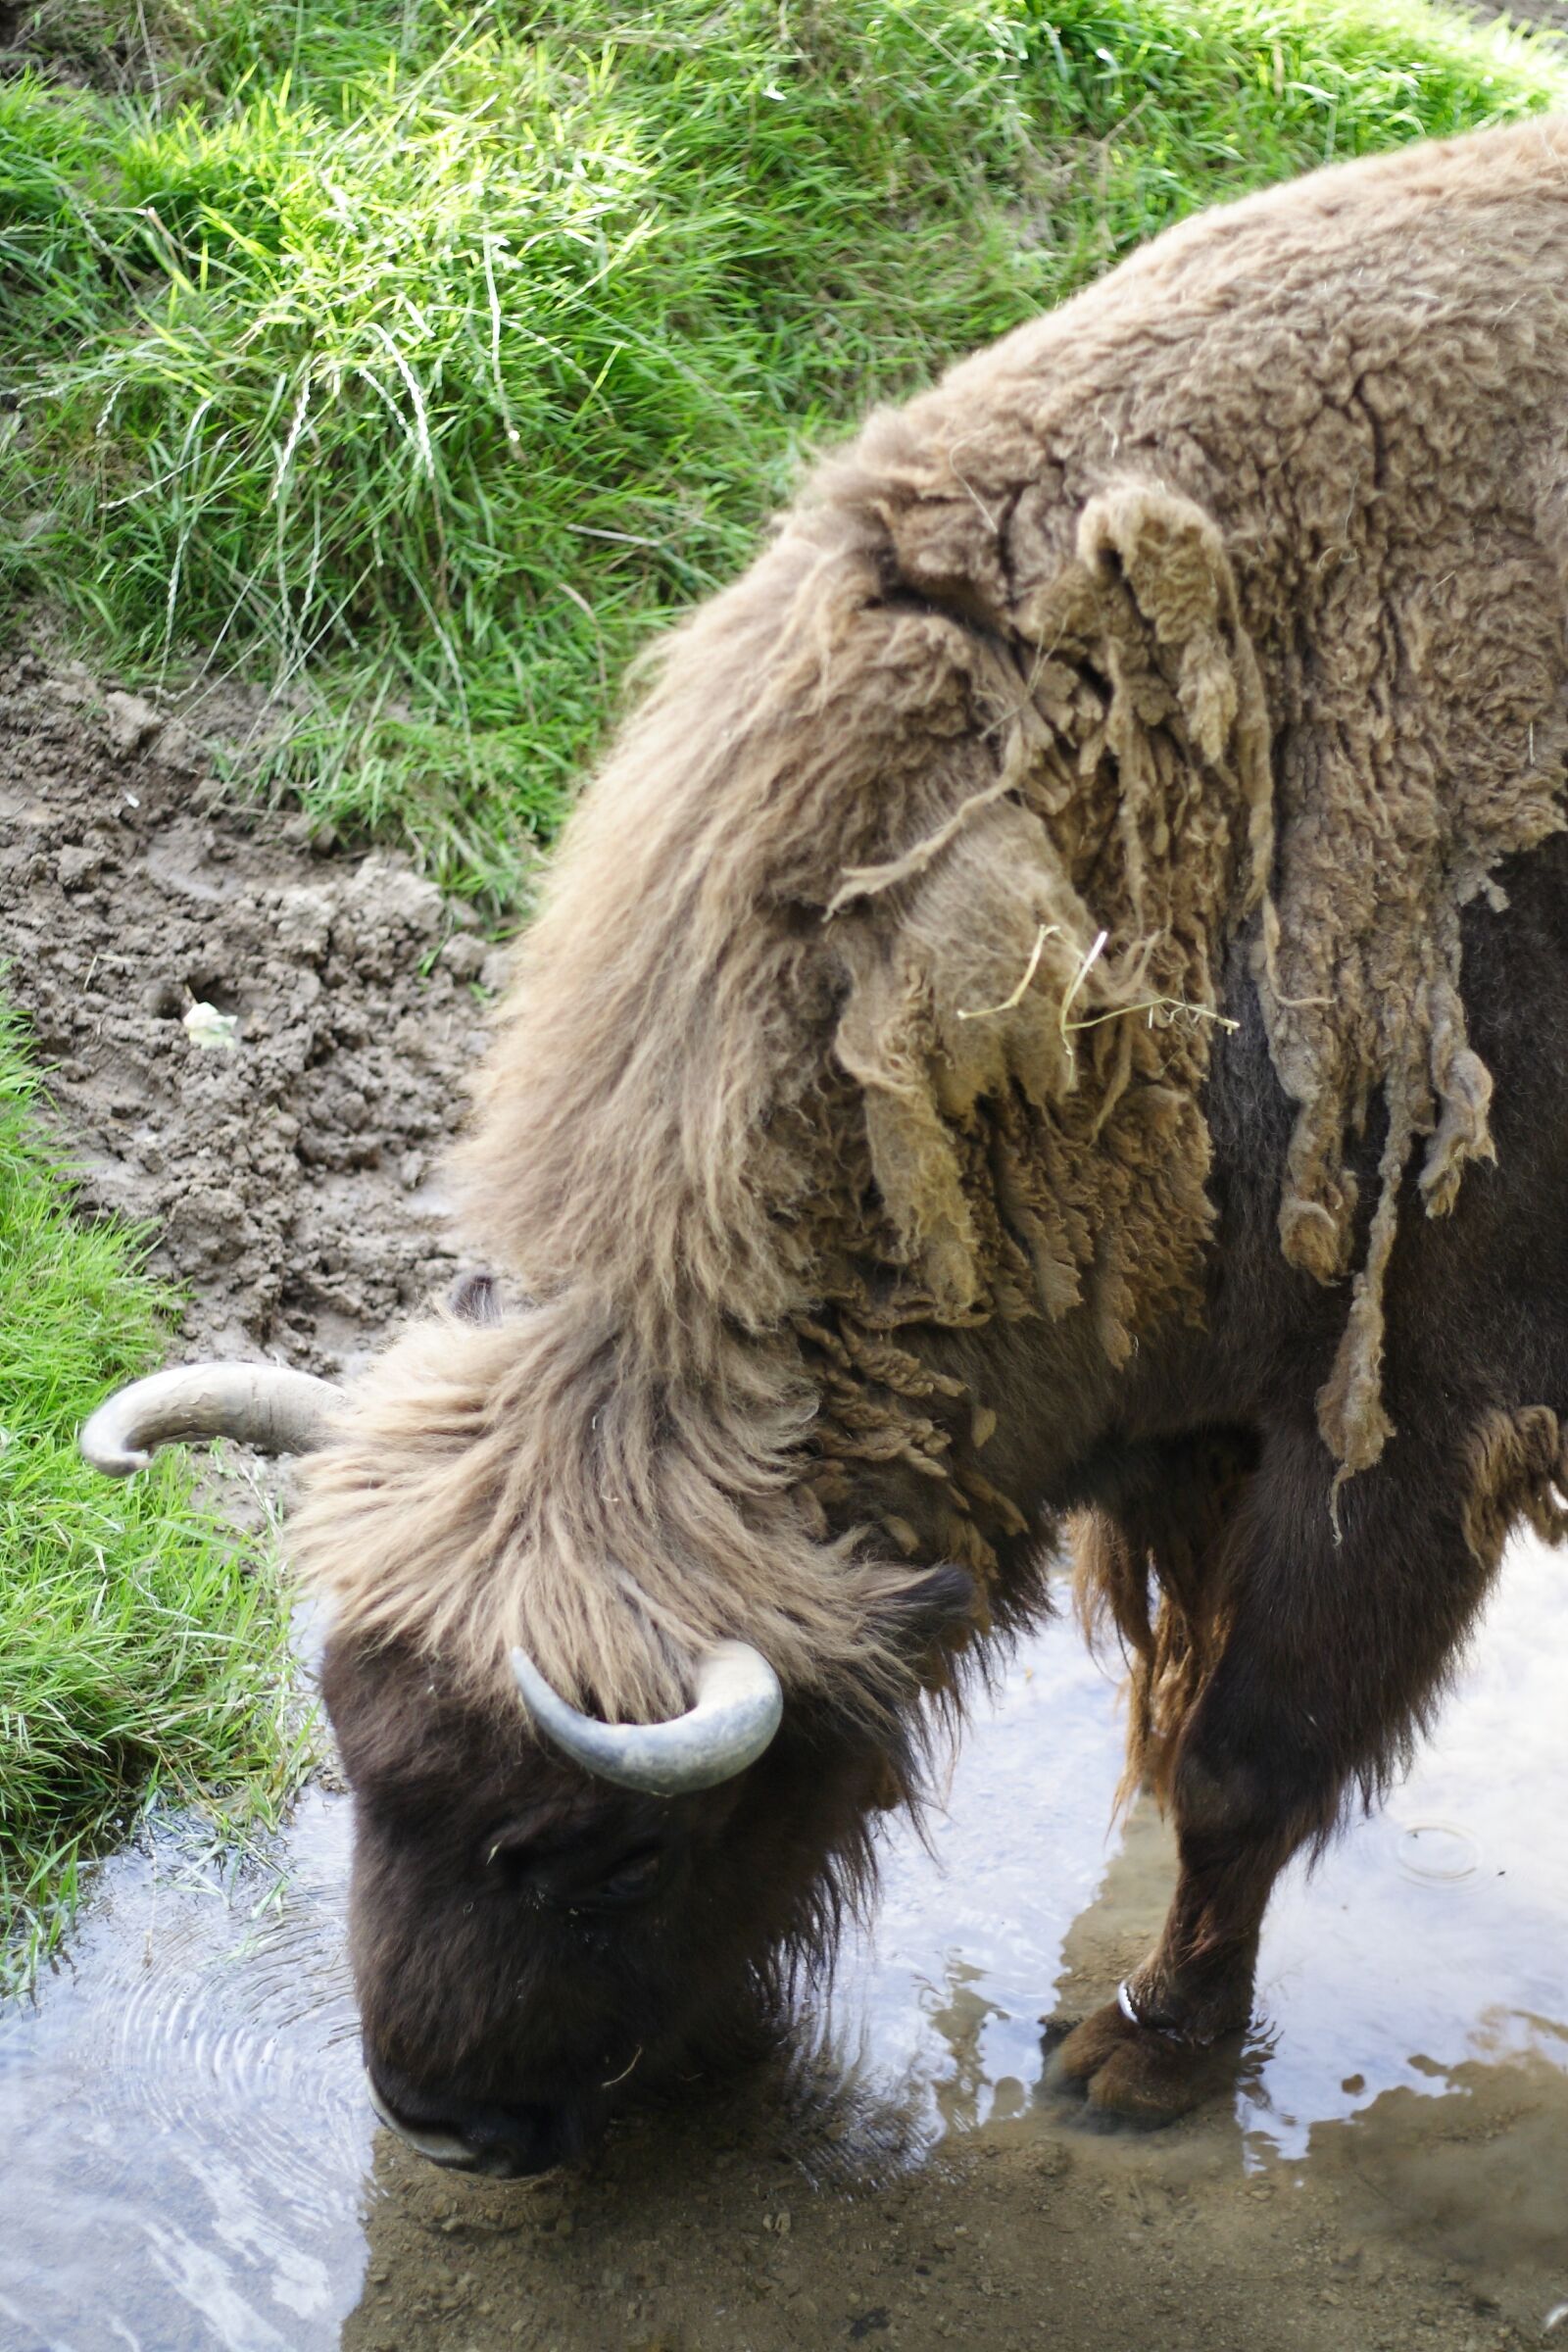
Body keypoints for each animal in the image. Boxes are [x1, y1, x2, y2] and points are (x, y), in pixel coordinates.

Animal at [86, 116, 1568, 2172]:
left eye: (601, 1852)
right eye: (350, 1754)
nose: (442, 2119)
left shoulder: (1401, 1426)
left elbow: (1242, 1761)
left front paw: (1136, 2060)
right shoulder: (1194, 1429)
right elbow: (1173, 1704)